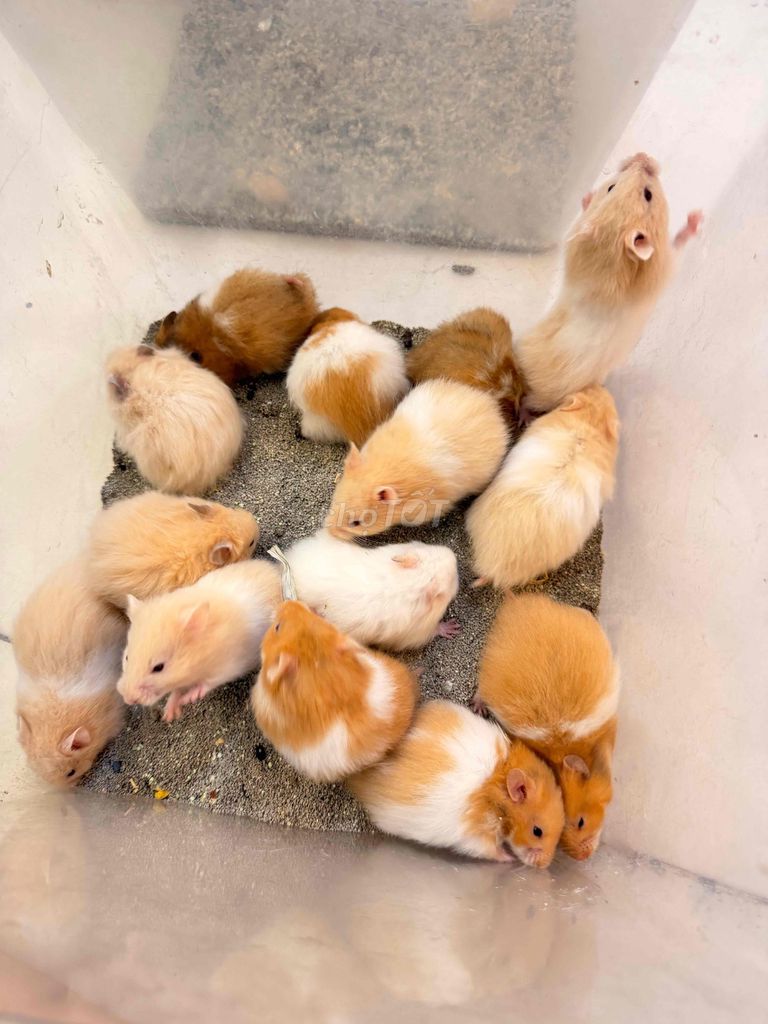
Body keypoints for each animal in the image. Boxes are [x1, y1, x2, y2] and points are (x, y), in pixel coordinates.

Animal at [118, 559, 281, 721]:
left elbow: (207, 683)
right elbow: (176, 690)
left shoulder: (229, 666)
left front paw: (187, 699)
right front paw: (170, 715)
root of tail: (274, 567)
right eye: (127, 657)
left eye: (158, 667)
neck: (199, 657)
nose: (127, 699)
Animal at [285, 530, 459, 650]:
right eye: (453, 580)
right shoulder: (415, 634)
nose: (453, 555)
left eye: (424, 546)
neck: (407, 583)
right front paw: (453, 627)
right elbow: (435, 630)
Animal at [348, 700, 564, 866]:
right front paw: (509, 858)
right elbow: (491, 850)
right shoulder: (476, 837)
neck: (496, 792)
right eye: (537, 831)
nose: (544, 866)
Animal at [516, 153, 703, 411]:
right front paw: (696, 217)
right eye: (648, 194)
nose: (642, 155)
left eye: (610, 187)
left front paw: (586, 197)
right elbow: (679, 242)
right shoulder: (667, 265)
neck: (609, 250)